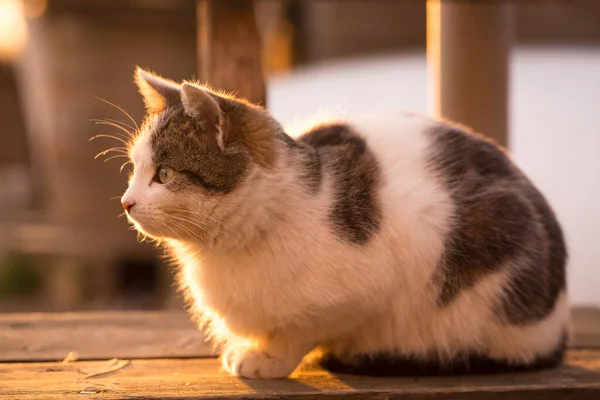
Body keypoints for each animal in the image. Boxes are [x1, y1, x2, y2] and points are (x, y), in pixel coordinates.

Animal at [117, 68, 568, 378]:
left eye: (164, 174)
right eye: (135, 170)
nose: (126, 202)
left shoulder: (366, 290)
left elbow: (301, 329)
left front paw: (269, 358)